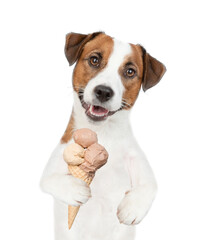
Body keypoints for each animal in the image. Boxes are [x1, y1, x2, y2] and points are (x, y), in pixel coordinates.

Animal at [40, 31, 167, 240]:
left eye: (130, 71)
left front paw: (132, 209)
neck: (102, 134)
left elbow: (151, 185)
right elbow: (49, 180)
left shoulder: (137, 160)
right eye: (94, 60)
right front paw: (76, 190)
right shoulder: (53, 166)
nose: (104, 91)